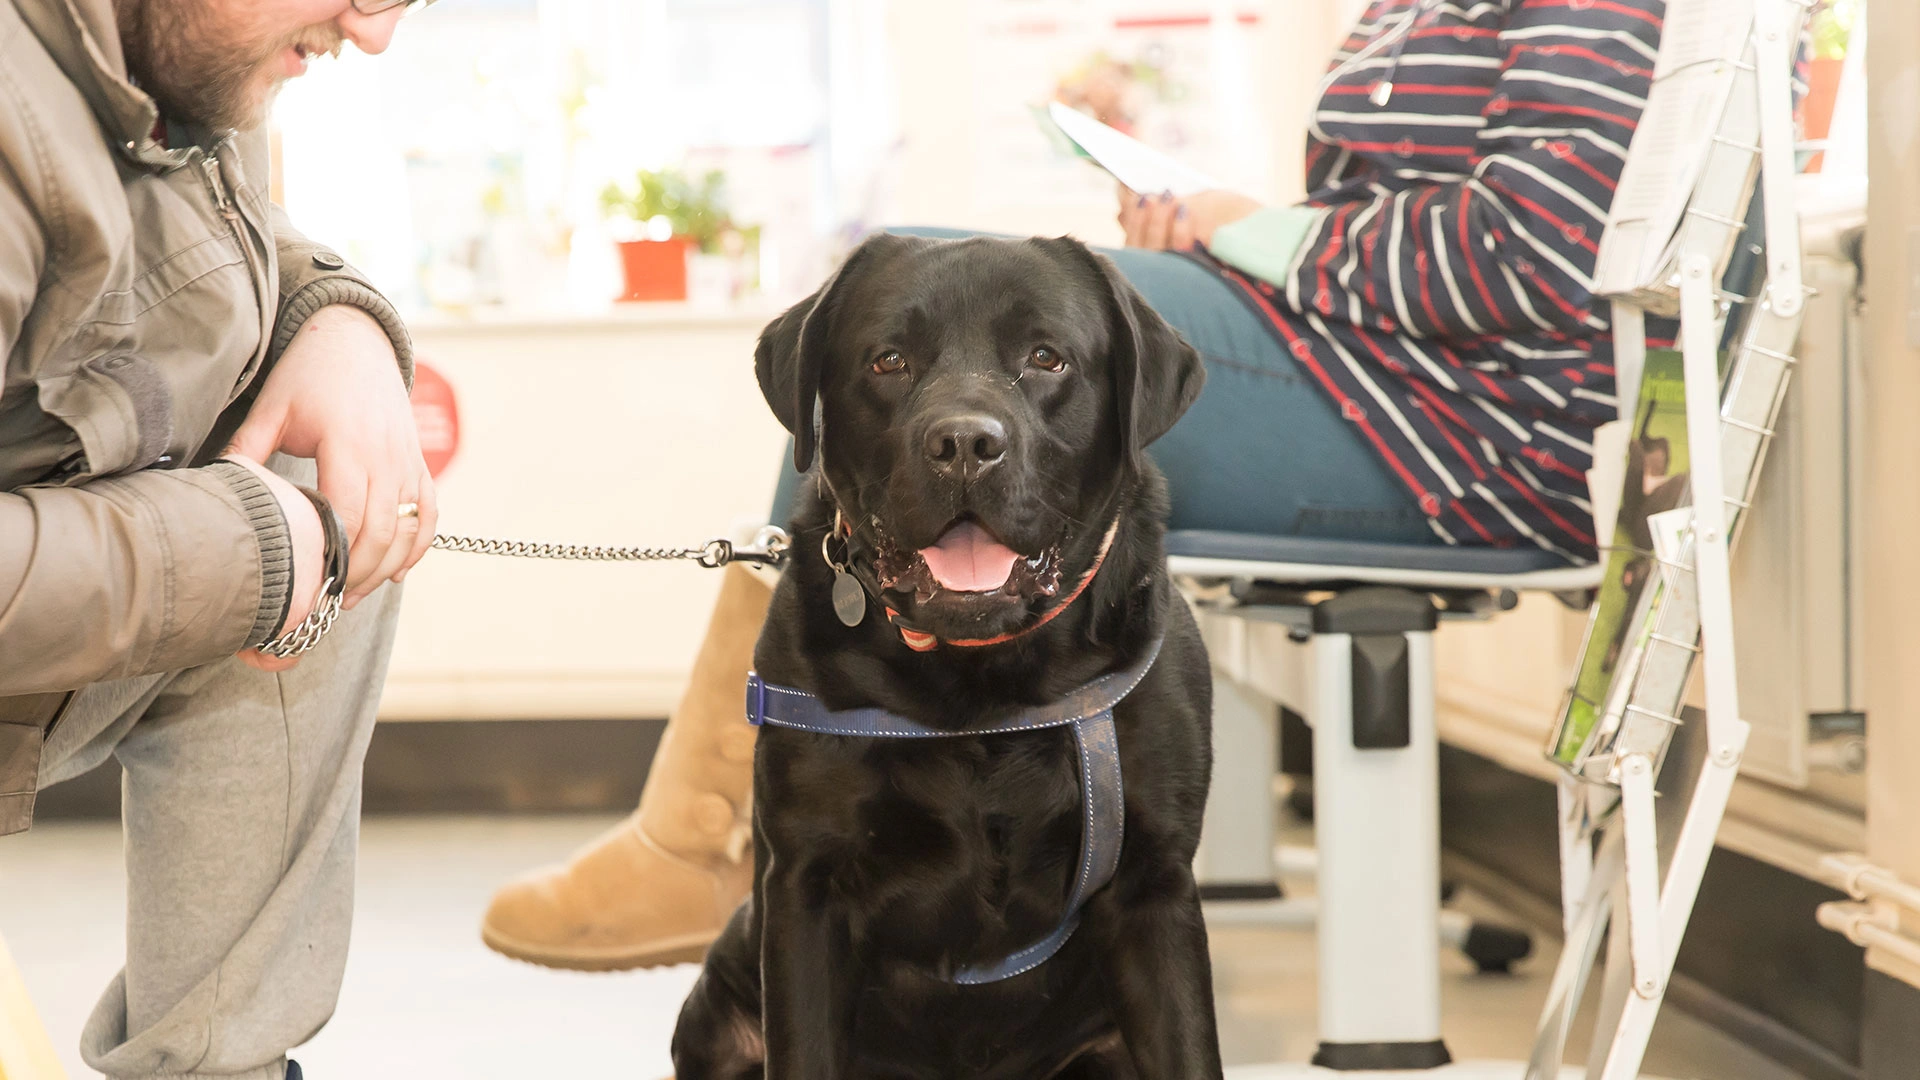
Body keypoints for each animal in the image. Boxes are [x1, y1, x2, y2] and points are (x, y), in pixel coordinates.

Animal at [668, 231, 1221, 1068]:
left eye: (1046, 357)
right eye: (888, 360)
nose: (964, 443)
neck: (980, 692)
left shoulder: (1153, 881)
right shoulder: (805, 886)